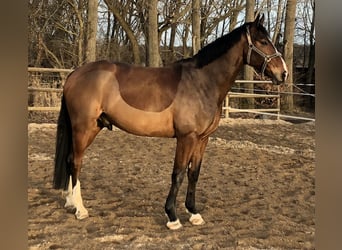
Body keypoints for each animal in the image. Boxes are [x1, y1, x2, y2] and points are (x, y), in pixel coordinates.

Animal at [54, 13, 288, 229]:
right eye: (263, 41)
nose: (283, 73)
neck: (203, 82)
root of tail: (75, 74)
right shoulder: (186, 138)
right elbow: (178, 174)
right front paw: (172, 217)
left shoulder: (202, 139)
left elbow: (194, 173)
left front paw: (194, 213)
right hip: (84, 129)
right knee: (75, 161)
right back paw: (81, 210)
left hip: (92, 127)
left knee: (69, 160)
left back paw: (70, 203)